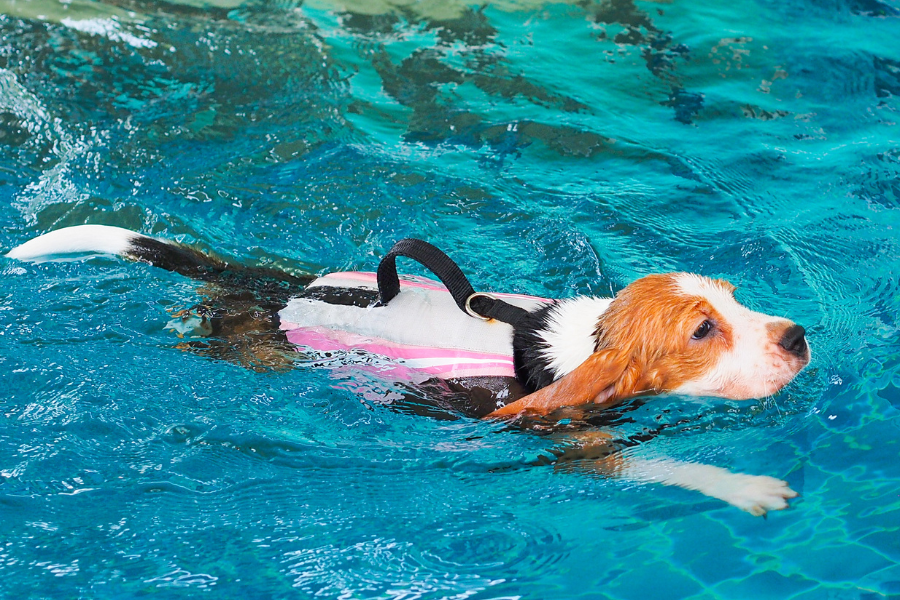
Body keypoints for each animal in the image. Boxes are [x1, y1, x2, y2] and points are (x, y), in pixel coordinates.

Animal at [7, 224, 810, 515]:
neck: (581, 341)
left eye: (734, 298)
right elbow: (669, 468)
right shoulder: (575, 445)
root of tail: (269, 286)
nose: (799, 336)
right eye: (702, 330)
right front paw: (747, 488)